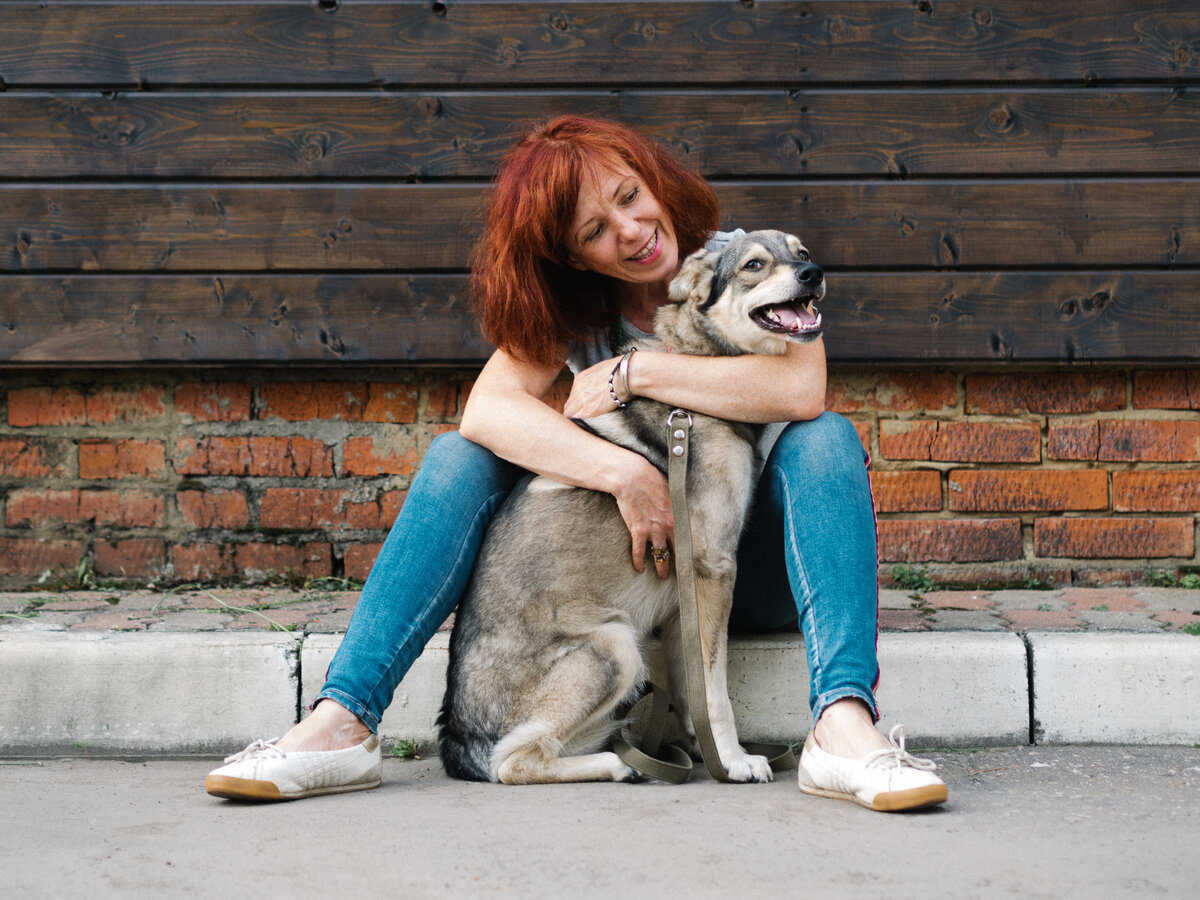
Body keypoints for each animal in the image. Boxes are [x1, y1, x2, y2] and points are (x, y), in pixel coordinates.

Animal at [439, 230, 825, 782]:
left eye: (802, 253)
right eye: (754, 265)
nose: (813, 274)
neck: (700, 374)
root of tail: (458, 739)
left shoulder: (691, 592)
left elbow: (693, 688)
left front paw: (704, 748)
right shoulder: (713, 569)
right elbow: (715, 692)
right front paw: (732, 761)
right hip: (616, 648)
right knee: (512, 763)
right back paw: (615, 764)